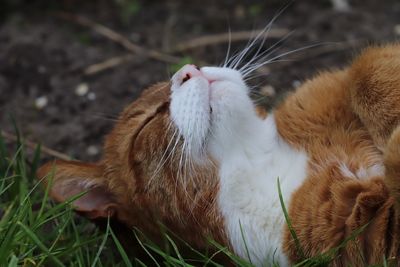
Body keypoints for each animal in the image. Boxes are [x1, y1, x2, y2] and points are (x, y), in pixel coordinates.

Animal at [36, 43, 400, 266]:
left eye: (190, 67)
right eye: (147, 122)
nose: (188, 69)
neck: (256, 155)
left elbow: (366, 70)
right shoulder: (363, 233)